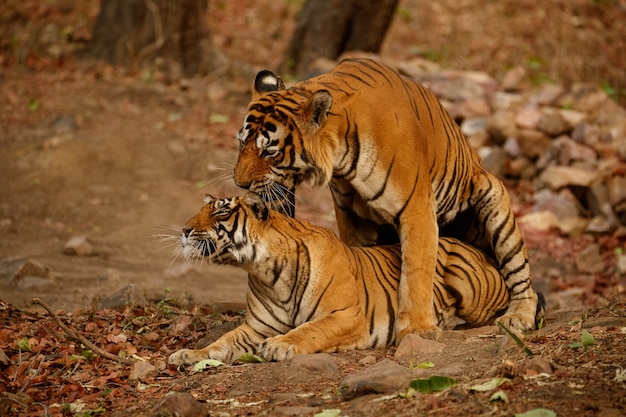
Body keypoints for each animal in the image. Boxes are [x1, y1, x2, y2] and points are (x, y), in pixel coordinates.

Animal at [167, 193, 516, 364]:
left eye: (221, 213)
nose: (184, 230)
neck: (265, 271)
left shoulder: (346, 315)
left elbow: (310, 330)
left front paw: (280, 345)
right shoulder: (256, 327)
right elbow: (222, 342)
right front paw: (189, 354)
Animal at [232, 57, 540, 338]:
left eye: (269, 152)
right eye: (241, 142)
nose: (239, 183)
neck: (341, 155)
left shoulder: (416, 208)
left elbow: (416, 271)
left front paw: (417, 328)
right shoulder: (351, 213)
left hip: (494, 197)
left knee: (522, 279)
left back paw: (518, 317)